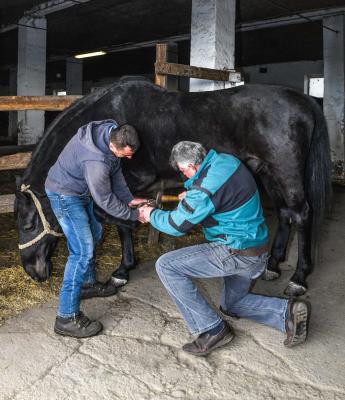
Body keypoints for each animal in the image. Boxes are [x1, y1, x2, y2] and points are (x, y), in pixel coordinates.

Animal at [14, 76, 330, 296]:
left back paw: (298, 279)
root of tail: (303, 99)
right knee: (285, 212)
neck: (110, 119)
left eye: (28, 225)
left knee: (301, 213)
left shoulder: (132, 180)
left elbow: (117, 219)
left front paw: (122, 270)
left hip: (286, 171)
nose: (32, 272)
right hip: (267, 172)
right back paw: (273, 266)